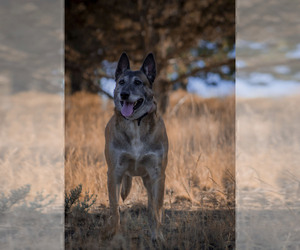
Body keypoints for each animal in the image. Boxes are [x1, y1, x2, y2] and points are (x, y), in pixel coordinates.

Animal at [104, 52, 168, 242]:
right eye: (121, 82)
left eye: (138, 82)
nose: (124, 94)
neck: (135, 124)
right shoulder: (115, 173)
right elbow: (115, 209)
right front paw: (116, 236)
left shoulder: (157, 175)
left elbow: (157, 210)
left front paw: (158, 236)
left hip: (149, 181)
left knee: (151, 207)